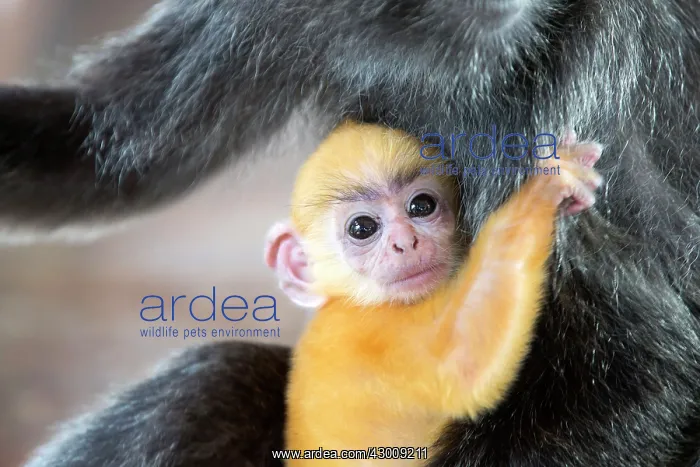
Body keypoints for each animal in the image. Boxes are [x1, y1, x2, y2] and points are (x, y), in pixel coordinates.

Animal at [264, 121, 603, 465]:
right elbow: (459, 361)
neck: (353, 301)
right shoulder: (366, 335)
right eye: (362, 228)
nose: (405, 242)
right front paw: (545, 187)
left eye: (422, 206)